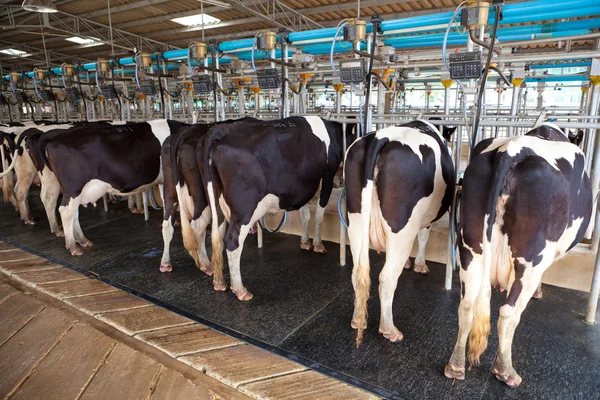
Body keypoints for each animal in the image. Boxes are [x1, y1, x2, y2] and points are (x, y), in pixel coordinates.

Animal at [39, 120, 189, 255]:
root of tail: (55, 138)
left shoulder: (164, 181)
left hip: (61, 185)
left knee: (63, 206)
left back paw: (81, 239)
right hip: (74, 187)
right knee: (65, 211)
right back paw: (72, 246)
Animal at [202, 115, 356, 300]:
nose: (341, 181)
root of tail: (222, 130)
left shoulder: (302, 190)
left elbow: (305, 216)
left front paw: (305, 242)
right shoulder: (326, 181)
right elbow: (318, 217)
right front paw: (318, 245)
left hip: (215, 201)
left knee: (217, 236)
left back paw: (219, 282)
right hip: (244, 210)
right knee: (232, 241)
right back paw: (240, 289)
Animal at [344, 120, 452, 346]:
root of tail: (380, 136)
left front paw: (411, 263)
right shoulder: (426, 220)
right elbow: (423, 237)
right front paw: (419, 265)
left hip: (355, 219)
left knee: (357, 272)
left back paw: (358, 320)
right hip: (401, 227)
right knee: (387, 278)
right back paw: (389, 329)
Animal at [446, 124, 592, 388]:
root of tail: (510, 150)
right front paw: (539, 292)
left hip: (471, 247)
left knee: (467, 303)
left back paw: (455, 365)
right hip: (531, 258)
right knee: (508, 313)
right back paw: (505, 370)